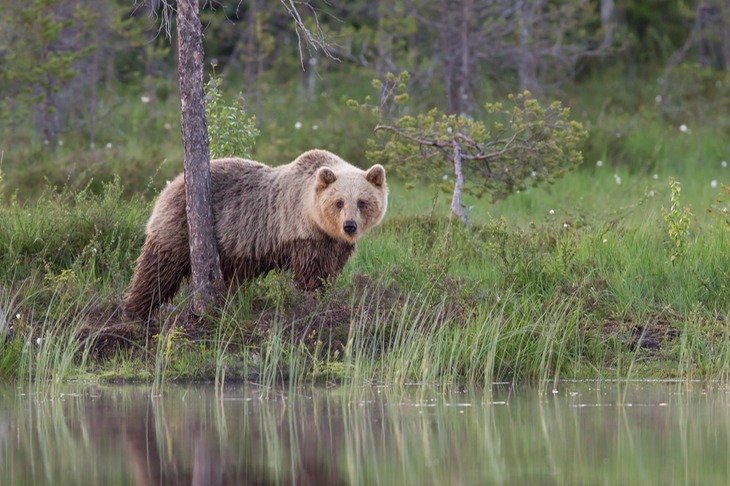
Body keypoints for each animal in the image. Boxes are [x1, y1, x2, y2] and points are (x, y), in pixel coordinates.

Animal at [122, 150, 390, 320]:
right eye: (338, 202)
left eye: (362, 202)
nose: (350, 226)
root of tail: (172, 182)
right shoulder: (302, 232)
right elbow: (311, 273)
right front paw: (311, 299)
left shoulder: (334, 244)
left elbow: (331, 270)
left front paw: (326, 292)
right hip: (179, 225)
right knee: (159, 269)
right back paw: (134, 312)